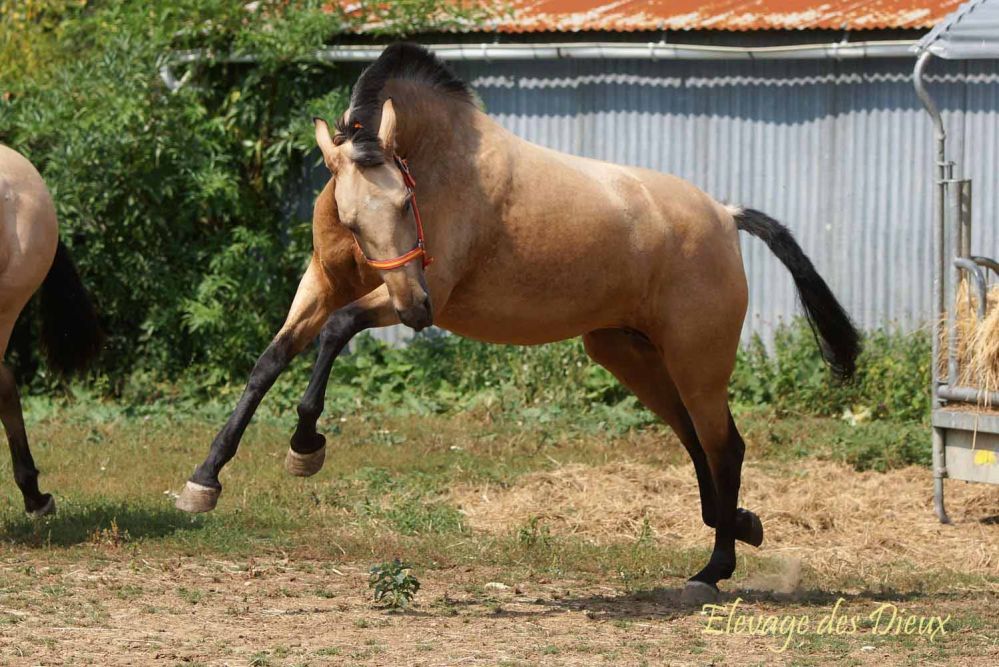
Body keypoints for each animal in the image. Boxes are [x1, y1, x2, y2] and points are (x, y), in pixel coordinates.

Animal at [176, 43, 859, 603]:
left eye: (406, 200)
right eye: (348, 215)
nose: (416, 311)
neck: (438, 160)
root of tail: (723, 214)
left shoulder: (419, 292)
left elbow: (336, 330)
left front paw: (305, 446)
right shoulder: (321, 284)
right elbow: (271, 360)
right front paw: (205, 480)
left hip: (697, 363)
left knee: (724, 446)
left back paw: (713, 569)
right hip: (629, 354)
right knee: (698, 442)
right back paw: (737, 528)